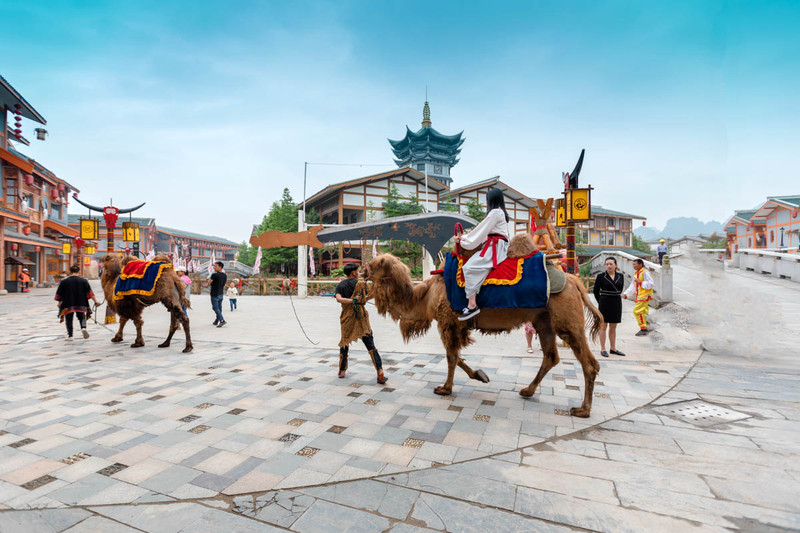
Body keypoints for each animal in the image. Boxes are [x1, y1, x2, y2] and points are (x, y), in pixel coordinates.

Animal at [366, 235, 604, 418]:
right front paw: (481, 375)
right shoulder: (456, 326)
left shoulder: (447, 321)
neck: (425, 297)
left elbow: (451, 356)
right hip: (543, 320)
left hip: (566, 320)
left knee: (588, 362)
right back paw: (527, 391)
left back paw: (583, 410)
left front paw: (445, 388)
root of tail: (575, 281)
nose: (362, 270)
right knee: (551, 356)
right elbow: (456, 355)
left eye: (375, 263)